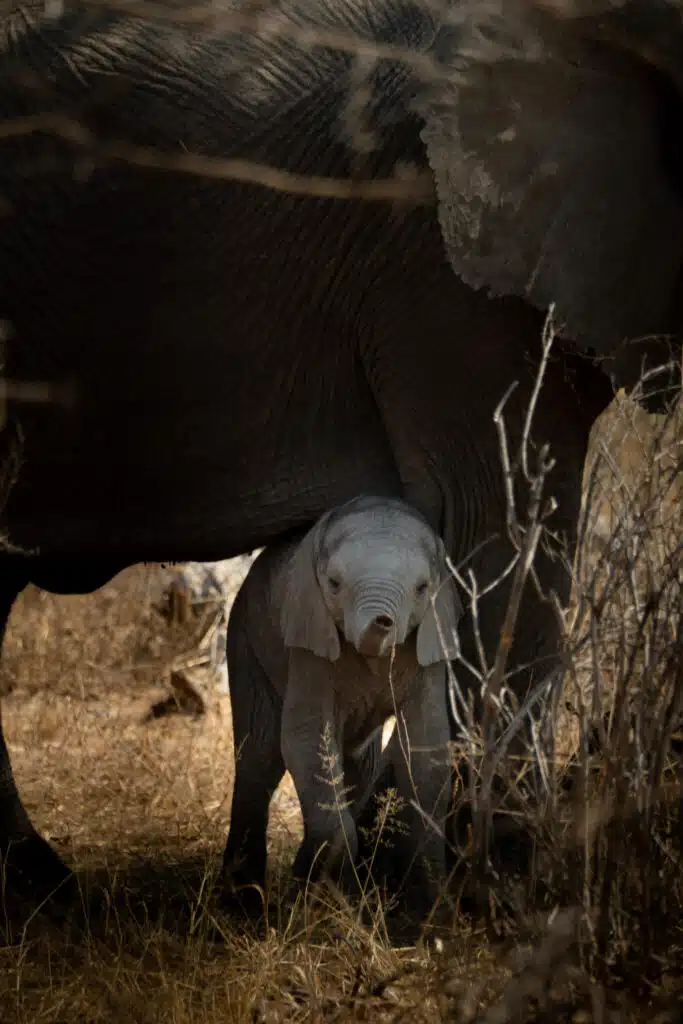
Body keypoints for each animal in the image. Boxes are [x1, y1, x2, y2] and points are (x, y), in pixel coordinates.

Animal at [222, 495, 461, 928]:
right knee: (260, 758)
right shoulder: (308, 644)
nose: (383, 621)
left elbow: (427, 747)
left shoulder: (429, 645)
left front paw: (425, 917)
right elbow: (305, 737)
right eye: (334, 584)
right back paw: (241, 908)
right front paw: (329, 903)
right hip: (245, 636)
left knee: (358, 765)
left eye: (422, 589)